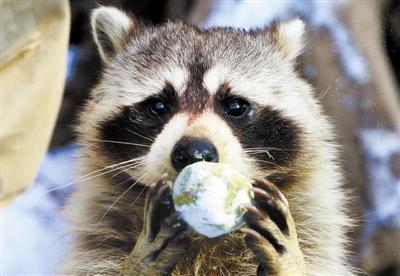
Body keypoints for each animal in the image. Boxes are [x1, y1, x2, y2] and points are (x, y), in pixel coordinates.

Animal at [62, 6, 354, 276]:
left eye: (235, 105)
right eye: (158, 105)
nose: (194, 153)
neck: (204, 229)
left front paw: (289, 262)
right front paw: (138, 265)